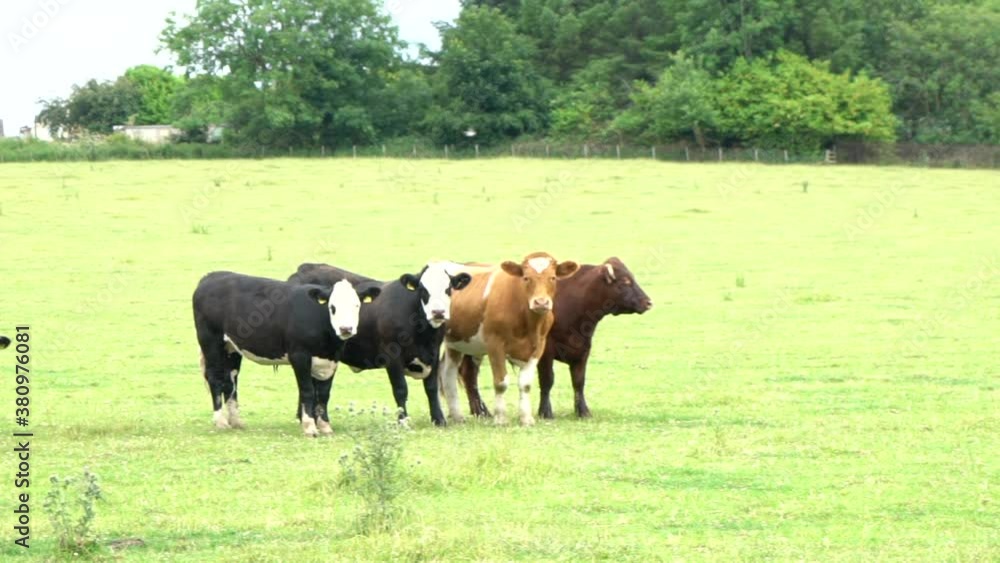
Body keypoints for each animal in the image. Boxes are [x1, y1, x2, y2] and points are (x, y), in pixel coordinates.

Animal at [192, 271, 381, 436]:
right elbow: (307, 391)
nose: (346, 329)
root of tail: (211, 276)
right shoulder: (299, 355)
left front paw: (325, 426)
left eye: (356, 306)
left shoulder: (331, 360)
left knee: (230, 381)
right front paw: (310, 427)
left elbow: (324, 393)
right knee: (215, 378)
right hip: (211, 342)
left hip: (231, 348)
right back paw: (220, 421)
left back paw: (236, 421)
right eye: (332, 307)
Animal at [288, 262, 471, 425]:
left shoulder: (433, 353)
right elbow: (400, 389)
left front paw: (438, 419)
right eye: (423, 289)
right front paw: (402, 421)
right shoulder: (392, 357)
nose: (438, 312)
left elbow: (431, 388)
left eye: (448, 288)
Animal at [440, 252, 579, 426]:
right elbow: (500, 383)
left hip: (456, 344)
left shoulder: (539, 347)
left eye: (553, 277)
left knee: (448, 374)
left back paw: (457, 416)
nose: (541, 302)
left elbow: (526, 384)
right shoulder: (495, 345)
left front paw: (526, 418)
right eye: (526, 278)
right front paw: (500, 418)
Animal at [457, 257, 652, 419]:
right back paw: (481, 411)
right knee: (470, 376)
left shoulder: (583, 350)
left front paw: (583, 411)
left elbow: (579, 382)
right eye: (625, 281)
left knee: (469, 375)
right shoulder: (545, 352)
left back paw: (480, 411)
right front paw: (545, 412)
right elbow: (547, 381)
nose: (648, 302)